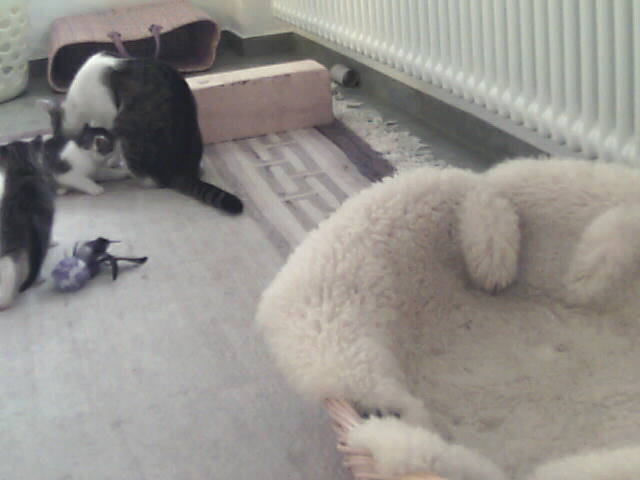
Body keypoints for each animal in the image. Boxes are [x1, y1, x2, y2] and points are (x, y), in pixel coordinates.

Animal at [0, 137, 55, 309]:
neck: (23, 170)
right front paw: (54, 242)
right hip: (37, 238)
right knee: (35, 262)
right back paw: (38, 280)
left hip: (9, 239)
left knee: (7, 263)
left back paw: (3, 302)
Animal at [59, 52, 243, 214]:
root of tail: (184, 172)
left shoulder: (107, 118)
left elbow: (111, 145)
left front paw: (110, 161)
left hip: (131, 137)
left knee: (153, 181)